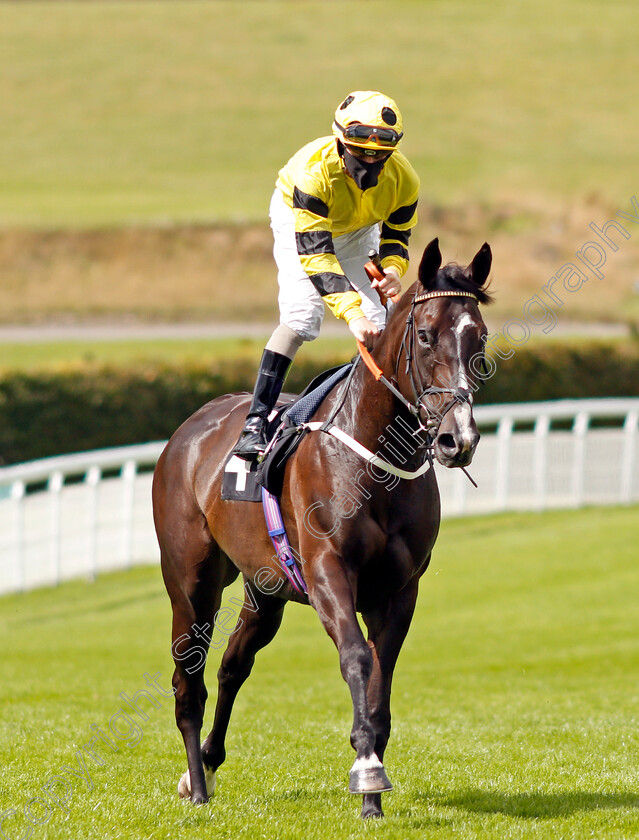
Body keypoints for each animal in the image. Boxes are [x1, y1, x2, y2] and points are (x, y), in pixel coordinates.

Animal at [152, 238, 492, 820]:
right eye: (426, 335)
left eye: (481, 337)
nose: (457, 439)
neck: (377, 461)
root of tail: (189, 430)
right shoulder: (329, 570)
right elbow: (356, 657)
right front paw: (367, 768)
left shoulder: (400, 589)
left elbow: (381, 678)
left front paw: (373, 795)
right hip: (190, 583)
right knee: (187, 682)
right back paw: (196, 785)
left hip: (265, 589)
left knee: (232, 664)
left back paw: (208, 765)